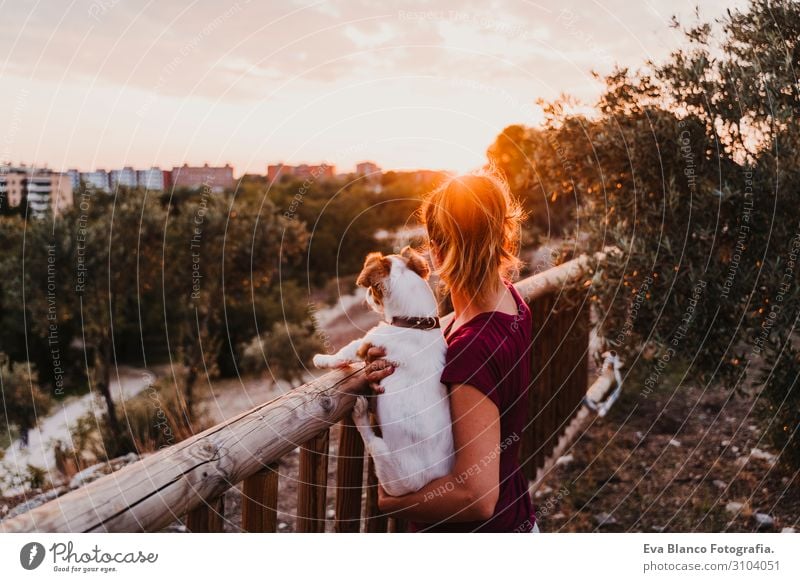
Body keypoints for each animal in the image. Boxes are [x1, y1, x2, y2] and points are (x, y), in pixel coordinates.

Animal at [312, 246, 454, 498]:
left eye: (372, 289)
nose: (368, 296)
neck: (417, 323)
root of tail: (429, 482)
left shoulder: (367, 343)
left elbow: (344, 352)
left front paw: (321, 359)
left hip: (386, 461)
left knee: (371, 441)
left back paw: (360, 414)